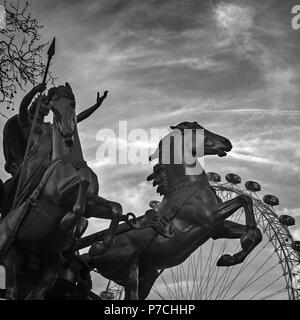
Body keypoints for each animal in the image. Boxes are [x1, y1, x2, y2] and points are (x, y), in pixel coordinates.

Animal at [2, 83, 122, 300]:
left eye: (72, 103)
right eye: (53, 107)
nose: (67, 134)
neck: (71, 163)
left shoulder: (92, 203)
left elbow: (116, 208)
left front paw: (99, 247)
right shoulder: (59, 196)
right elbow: (82, 183)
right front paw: (67, 221)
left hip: (48, 267)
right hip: (11, 258)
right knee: (12, 291)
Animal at [85, 120, 262, 300]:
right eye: (198, 129)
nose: (227, 142)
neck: (187, 186)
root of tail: (91, 253)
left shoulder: (217, 229)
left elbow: (258, 232)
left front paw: (229, 258)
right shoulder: (210, 217)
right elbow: (244, 199)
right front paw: (246, 239)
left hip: (147, 274)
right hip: (129, 271)